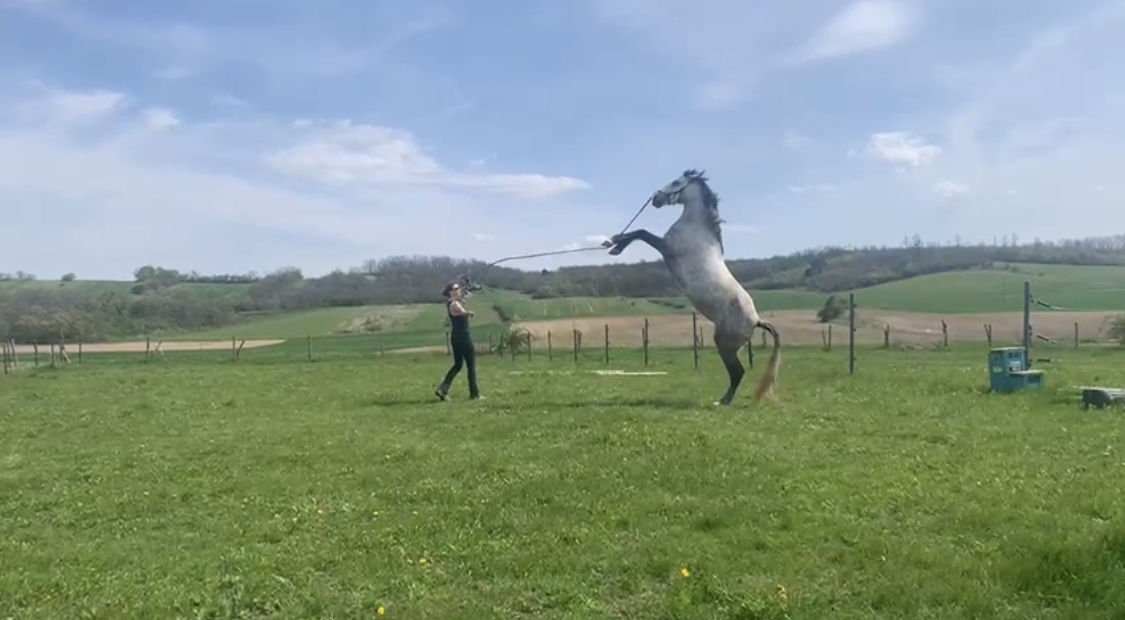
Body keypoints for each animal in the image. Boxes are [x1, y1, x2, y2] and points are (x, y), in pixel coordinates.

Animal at [605, 169, 781, 405]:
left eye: (676, 182)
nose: (656, 199)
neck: (695, 228)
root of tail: (756, 321)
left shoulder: (666, 246)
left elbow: (641, 232)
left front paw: (614, 243)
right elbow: (639, 233)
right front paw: (614, 245)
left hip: (724, 344)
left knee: (738, 372)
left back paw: (723, 401)